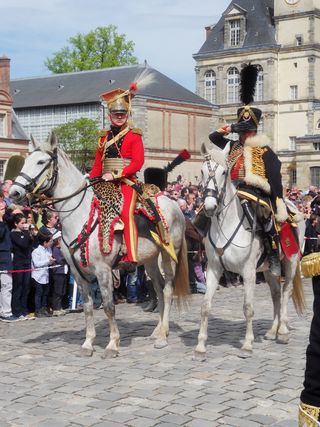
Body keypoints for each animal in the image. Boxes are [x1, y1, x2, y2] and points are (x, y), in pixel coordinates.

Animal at [10, 134, 190, 358]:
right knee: (157, 288)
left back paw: (163, 336)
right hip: (149, 260)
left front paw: (112, 344)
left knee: (167, 290)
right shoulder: (78, 272)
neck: (80, 215)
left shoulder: (103, 271)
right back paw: (157, 331)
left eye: (41, 162)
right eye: (26, 160)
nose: (14, 192)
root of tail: (173, 203)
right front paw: (88, 343)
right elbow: (87, 306)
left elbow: (108, 306)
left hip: (168, 256)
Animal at [194, 145, 306, 362]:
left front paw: (247, 345)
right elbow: (205, 306)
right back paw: (272, 331)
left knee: (286, 292)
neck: (225, 225)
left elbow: (248, 308)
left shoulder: (248, 272)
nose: (210, 206)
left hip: (291, 262)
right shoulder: (213, 269)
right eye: (202, 171)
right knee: (276, 294)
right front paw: (201, 346)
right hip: (270, 270)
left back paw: (283, 331)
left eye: (224, 172)